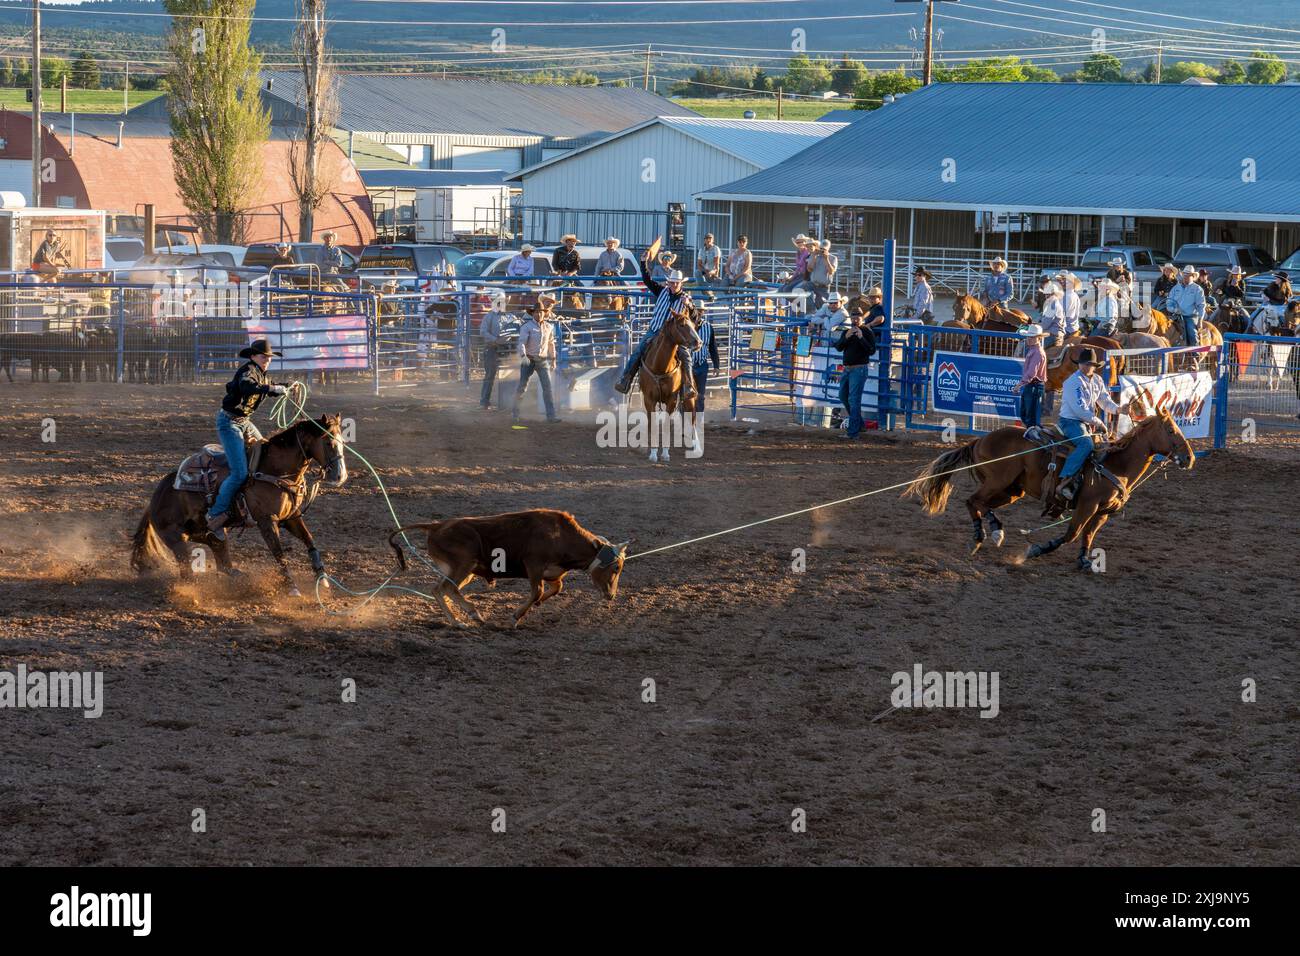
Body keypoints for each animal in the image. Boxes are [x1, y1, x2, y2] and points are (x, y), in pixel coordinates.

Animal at [129, 416, 348, 595]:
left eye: (343, 442)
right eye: (328, 442)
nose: (340, 476)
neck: (274, 470)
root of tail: (156, 497)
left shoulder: (291, 517)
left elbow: (310, 540)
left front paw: (323, 579)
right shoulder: (266, 521)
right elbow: (279, 553)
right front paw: (291, 588)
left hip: (209, 534)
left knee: (223, 562)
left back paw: (240, 578)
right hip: (175, 538)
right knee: (187, 572)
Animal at [384, 509, 629, 629]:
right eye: (616, 567)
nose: (611, 595)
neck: (561, 536)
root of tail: (436, 526)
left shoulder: (552, 572)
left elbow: (556, 587)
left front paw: (536, 605)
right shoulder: (533, 566)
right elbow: (537, 591)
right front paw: (514, 618)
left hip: (462, 570)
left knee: (439, 589)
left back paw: (457, 620)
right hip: (463, 564)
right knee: (446, 588)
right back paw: (472, 615)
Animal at [637, 303, 702, 460]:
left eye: (693, 324)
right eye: (682, 325)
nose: (699, 342)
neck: (660, 367)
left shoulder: (671, 400)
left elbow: (666, 426)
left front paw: (665, 453)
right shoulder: (649, 400)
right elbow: (653, 426)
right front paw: (653, 453)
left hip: (690, 398)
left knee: (692, 419)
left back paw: (696, 447)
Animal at [909, 408, 1190, 572]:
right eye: (1170, 430)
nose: (1189, 458)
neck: (1115, 465)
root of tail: (980, 439)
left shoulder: (1103, 513)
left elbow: (1088, 536)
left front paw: (1084, 560)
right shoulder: (1086, 505)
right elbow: (1071, 534)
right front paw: (1035, 550)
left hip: (1012, 491)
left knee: (978, 503)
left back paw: (988, 534)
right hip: (997, 482)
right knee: (974, 501)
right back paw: (987, 534)